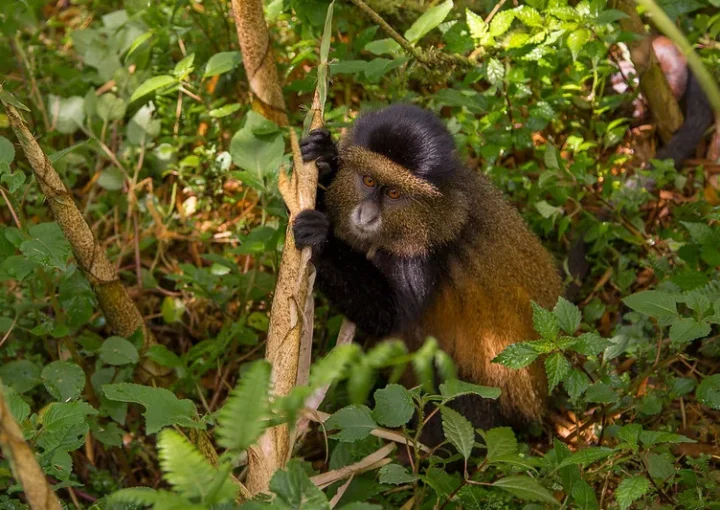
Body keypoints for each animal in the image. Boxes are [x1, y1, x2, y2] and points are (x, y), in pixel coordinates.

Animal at [292, 104, 564, 445]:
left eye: (394, 194)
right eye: (367, 180)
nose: (366, 215)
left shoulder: (419, 257)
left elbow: (389, 317)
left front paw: (322, 238)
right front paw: (325, 155)